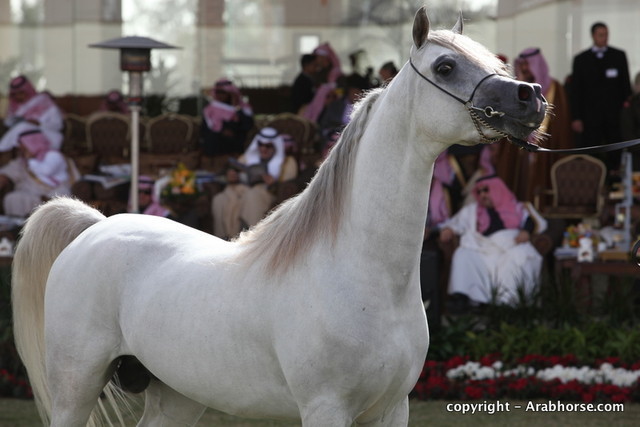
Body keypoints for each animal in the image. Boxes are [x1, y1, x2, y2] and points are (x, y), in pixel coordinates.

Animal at [12, 7, 546, 427]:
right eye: (446, 65)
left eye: (493, 60)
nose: (531, 96)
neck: (361, 277)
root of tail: (95, 228)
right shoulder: (325, 409)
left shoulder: (393, 410)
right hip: (76, 386)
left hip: (177, 396)